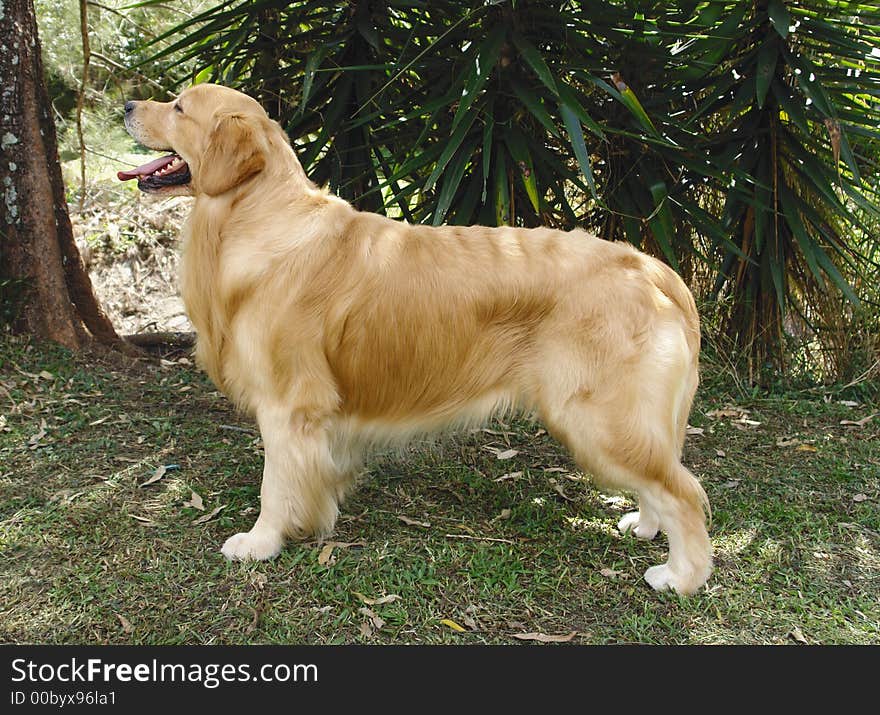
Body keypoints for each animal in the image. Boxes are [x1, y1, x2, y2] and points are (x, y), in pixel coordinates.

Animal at [120, 84, 712, 596]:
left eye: (178, 107)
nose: (126, 104)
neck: (258, 214)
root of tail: (649, 266)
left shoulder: (289, 406)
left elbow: (275, 484)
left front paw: (260, 542)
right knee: (663, 478)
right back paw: (644, 526)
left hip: (596, 417)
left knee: (686, 492)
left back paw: (680, 577)